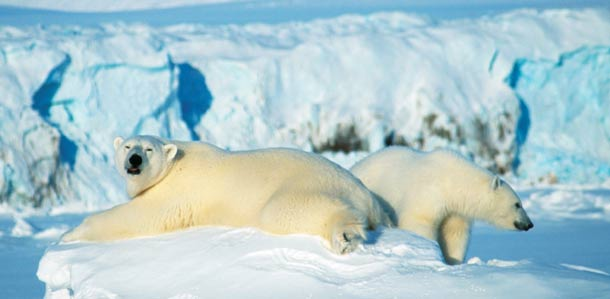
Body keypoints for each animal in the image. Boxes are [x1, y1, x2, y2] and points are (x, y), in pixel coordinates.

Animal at [63, 136, 390, 255]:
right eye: (127, 146)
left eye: (148, 149)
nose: (134, 160)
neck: (175, 162)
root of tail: (366, 194)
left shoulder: (177, 192)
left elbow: (139, 216)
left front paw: (68, 235)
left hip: (306, 185)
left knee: (285, 209)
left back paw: (345, 236)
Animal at [350, 147, 528, 264]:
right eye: (517, 204)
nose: (529, 224)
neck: (452, 180)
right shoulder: (429, 194)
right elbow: (420, 223)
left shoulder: (455, 209)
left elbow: (454, 233)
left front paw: (454, 262)